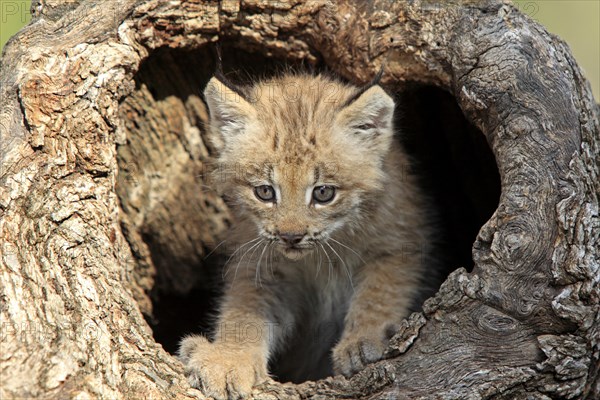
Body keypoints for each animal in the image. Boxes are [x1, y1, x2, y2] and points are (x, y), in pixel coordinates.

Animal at [179, 73, 432, 398]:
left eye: (323, 193)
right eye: (265, 192)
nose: (291, 236)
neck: (321, 254)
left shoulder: (399, 244)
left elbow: (379, 293)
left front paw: (363, 341)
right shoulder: (262, 262)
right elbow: (245, 313)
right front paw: (228, 359)